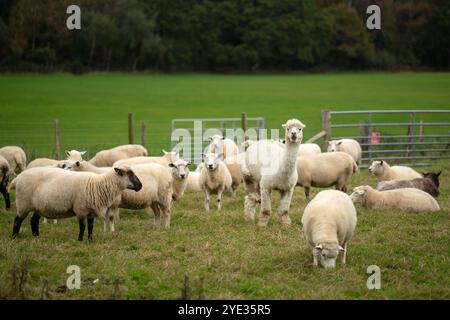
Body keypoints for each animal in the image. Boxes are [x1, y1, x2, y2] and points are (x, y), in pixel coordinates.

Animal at [9, 165, 142, 240]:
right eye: (129, 174)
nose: (140, 186)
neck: (99, 184)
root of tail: (18, 178)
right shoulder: (81, 209)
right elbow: (82, 226)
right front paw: (80, 240)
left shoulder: (91, 211)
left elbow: (91, 226)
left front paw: (90, 239)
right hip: (23, 203)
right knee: (17, 220)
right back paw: (15, 237)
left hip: (38, 206)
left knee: (33, 221)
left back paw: (36, 236)